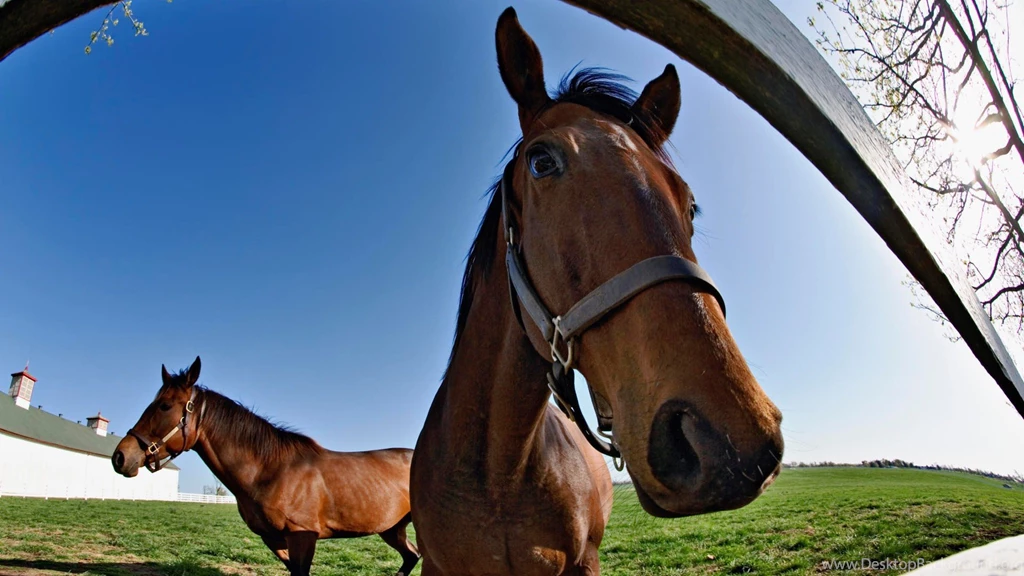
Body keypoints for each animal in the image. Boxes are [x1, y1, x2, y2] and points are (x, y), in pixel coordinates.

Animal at [111, 357, 420, 576]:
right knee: (412, 556)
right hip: (392, 529)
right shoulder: (274, 540)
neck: (270, 471)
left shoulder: (302, 537)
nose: (121, 457)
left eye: (164, 406)